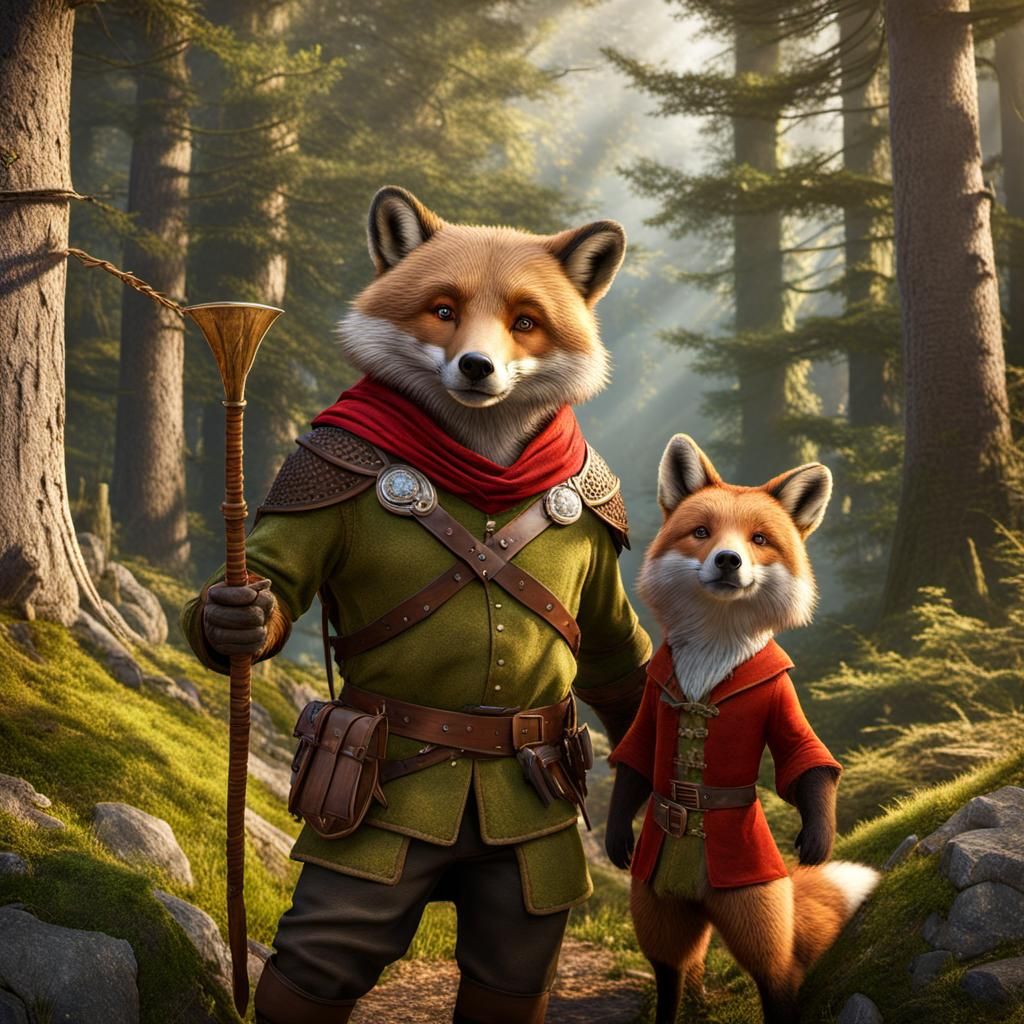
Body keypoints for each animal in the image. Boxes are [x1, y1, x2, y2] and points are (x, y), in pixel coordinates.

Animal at [604, 434, 879, 1024]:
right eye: (702, 533)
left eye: (758, 540)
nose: (728, 561)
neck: (713, 652)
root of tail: (699, 898)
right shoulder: (654, 700)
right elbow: (634, 762)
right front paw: (617, 836)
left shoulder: (781, 699)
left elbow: (808, 760)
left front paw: (818, 838)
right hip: (656, 909)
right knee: (671, 973)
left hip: (753, 909)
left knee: (780, 974)